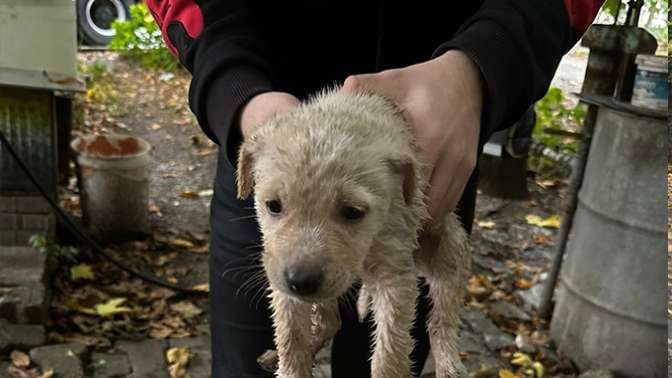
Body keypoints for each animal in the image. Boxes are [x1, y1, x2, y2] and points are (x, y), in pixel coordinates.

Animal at [239, 89, 470, 378]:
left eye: (352, 212)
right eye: (273, 205)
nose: (301, 281)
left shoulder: (394, 277)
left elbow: (389, 354)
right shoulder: (280, 272)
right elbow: (291, 337)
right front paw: (291, 365)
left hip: (448, 249)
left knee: (441, 321)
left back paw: (450, 366)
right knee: (329, 321)